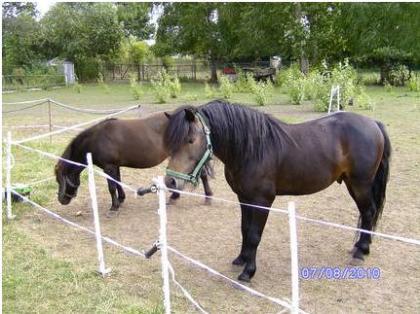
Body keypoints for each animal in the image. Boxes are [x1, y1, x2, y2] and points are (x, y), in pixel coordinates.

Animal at [55, 111, 213, 216]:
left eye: (59, 180)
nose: (61, 200)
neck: (97, 139)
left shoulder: (109, 167)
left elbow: (111, 187)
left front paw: (114, 207)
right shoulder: (115, 166)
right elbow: (117, 182)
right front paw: (121, 199)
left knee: (200, 174)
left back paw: (205, 197)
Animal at [163, 101, 390, 282]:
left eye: (190, 140)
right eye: (172, 143)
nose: (170, 181)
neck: (252, 149)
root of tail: (373, 123)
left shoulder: (263, 201)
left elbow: (254, 235)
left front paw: (248, 272)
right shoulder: (244, 198)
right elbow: (245, 229)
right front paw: (241, 259)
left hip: (361, 184)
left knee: (368, 212)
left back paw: (361, 252)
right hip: (353, 184)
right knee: (366, 213)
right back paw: (359, 247)